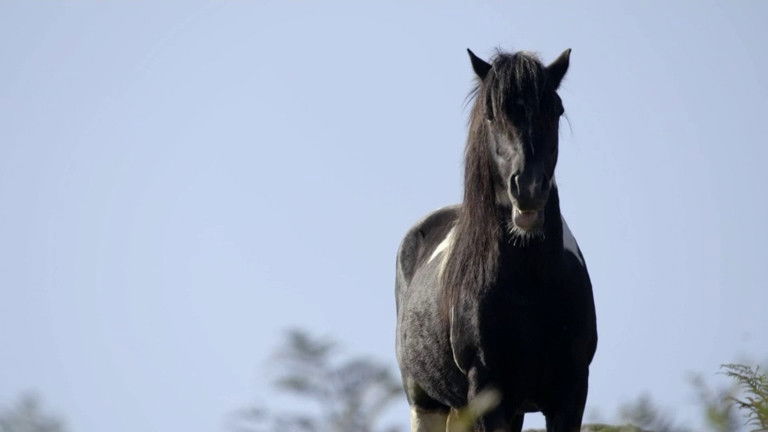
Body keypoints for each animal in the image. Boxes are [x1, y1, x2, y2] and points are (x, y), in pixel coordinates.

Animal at [394, 48, 597, 432]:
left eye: (556, 109)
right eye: (491, 114)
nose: (528, 190)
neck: (531, 283)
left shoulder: (571, 392)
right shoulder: (487, 395)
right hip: (425, 403)